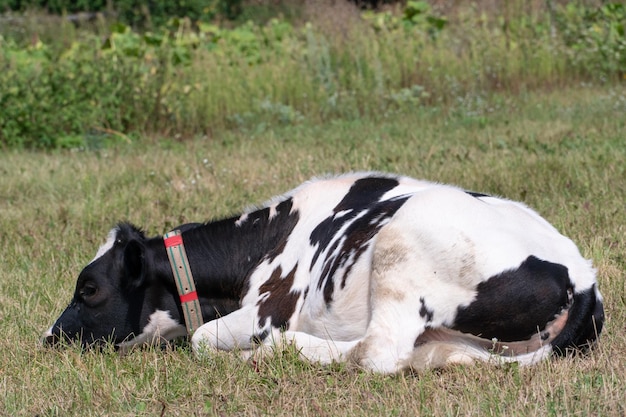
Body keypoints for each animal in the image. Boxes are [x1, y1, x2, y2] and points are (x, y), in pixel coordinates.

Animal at [42, 171, 600, 372]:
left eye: (88, 289)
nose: (48, 338)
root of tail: (583, 276)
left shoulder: (268, 310)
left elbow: (200, 339)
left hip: (404, 245)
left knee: (378, 353)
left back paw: (281, 351)